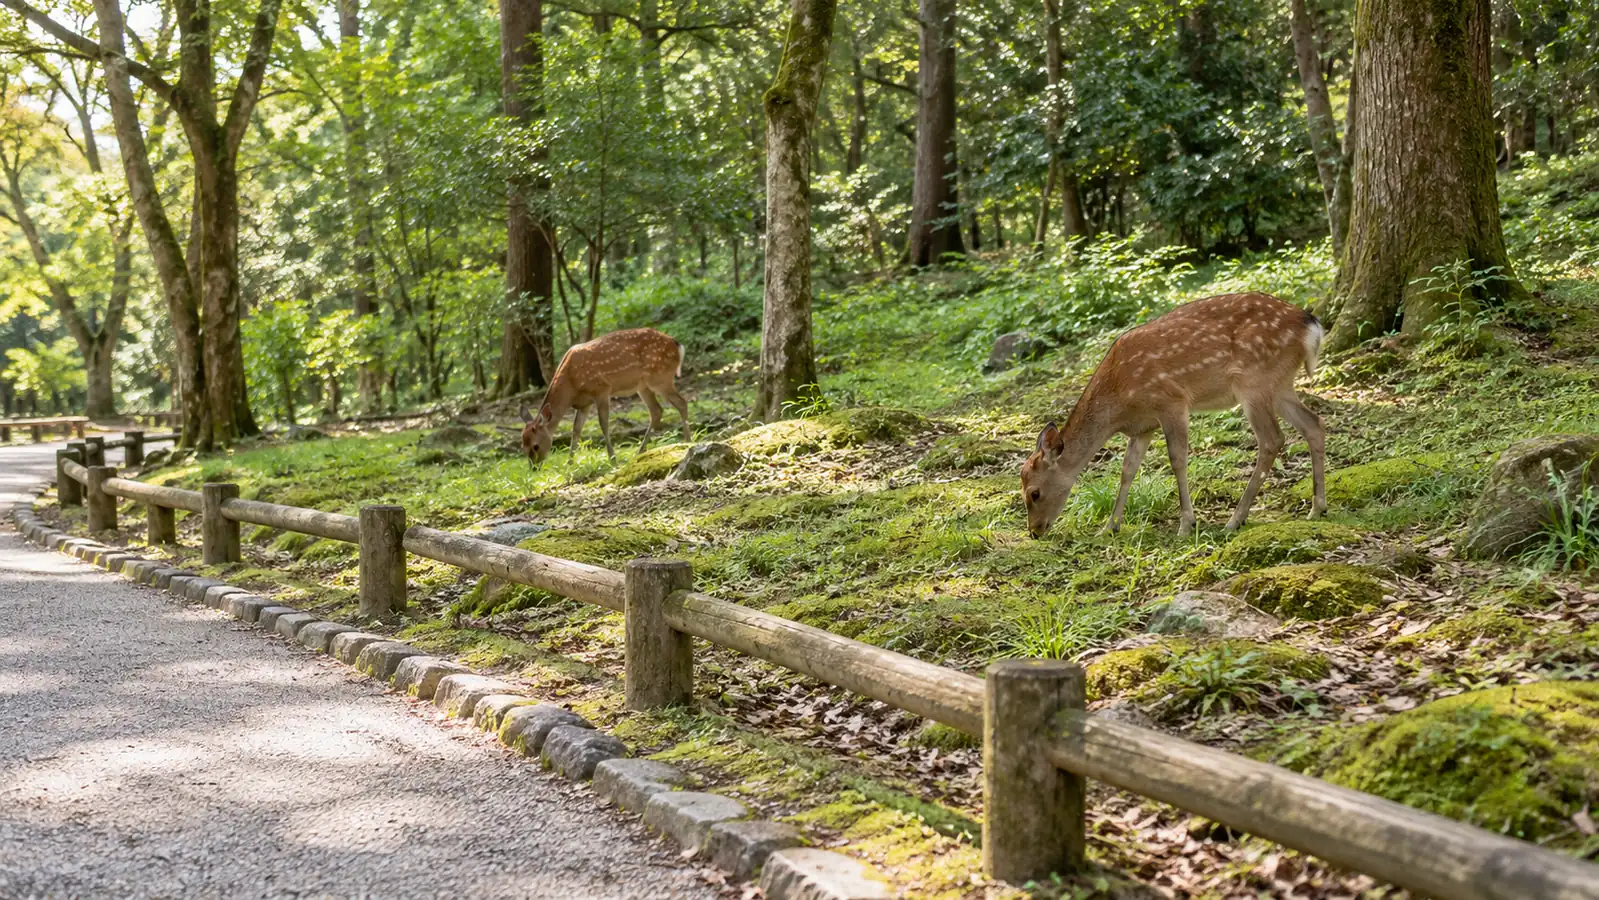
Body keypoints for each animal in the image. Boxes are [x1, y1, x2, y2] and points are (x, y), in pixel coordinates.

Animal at [518, 327, 691, 465]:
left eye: (536, 446)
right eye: (523, 446)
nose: (534, 467)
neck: (571, 386)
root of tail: (678, 345)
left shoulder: (602, 389)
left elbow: (603, 424)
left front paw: (612, 459)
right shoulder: (584, 403)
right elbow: (576, 430)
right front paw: (569, 462)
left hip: (660, 377)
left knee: (681, 403)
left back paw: (688, 442)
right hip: (643, 386)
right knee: (656, 411)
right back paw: (640, 452)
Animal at [1021, 291, 1328, 539]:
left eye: (1034, 493)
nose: (1034, 531)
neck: (1119, 400)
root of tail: (1310, 325)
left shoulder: (1172, 401)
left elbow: (1177, 460)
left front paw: (1186, 525)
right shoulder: (1142, 428)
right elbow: (1127, 470)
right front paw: (1109, 527)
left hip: (1253, 381)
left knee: (1272, 439)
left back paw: (1235, 520)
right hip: (1279, 384)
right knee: (1313, 423)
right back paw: (1317, 508)